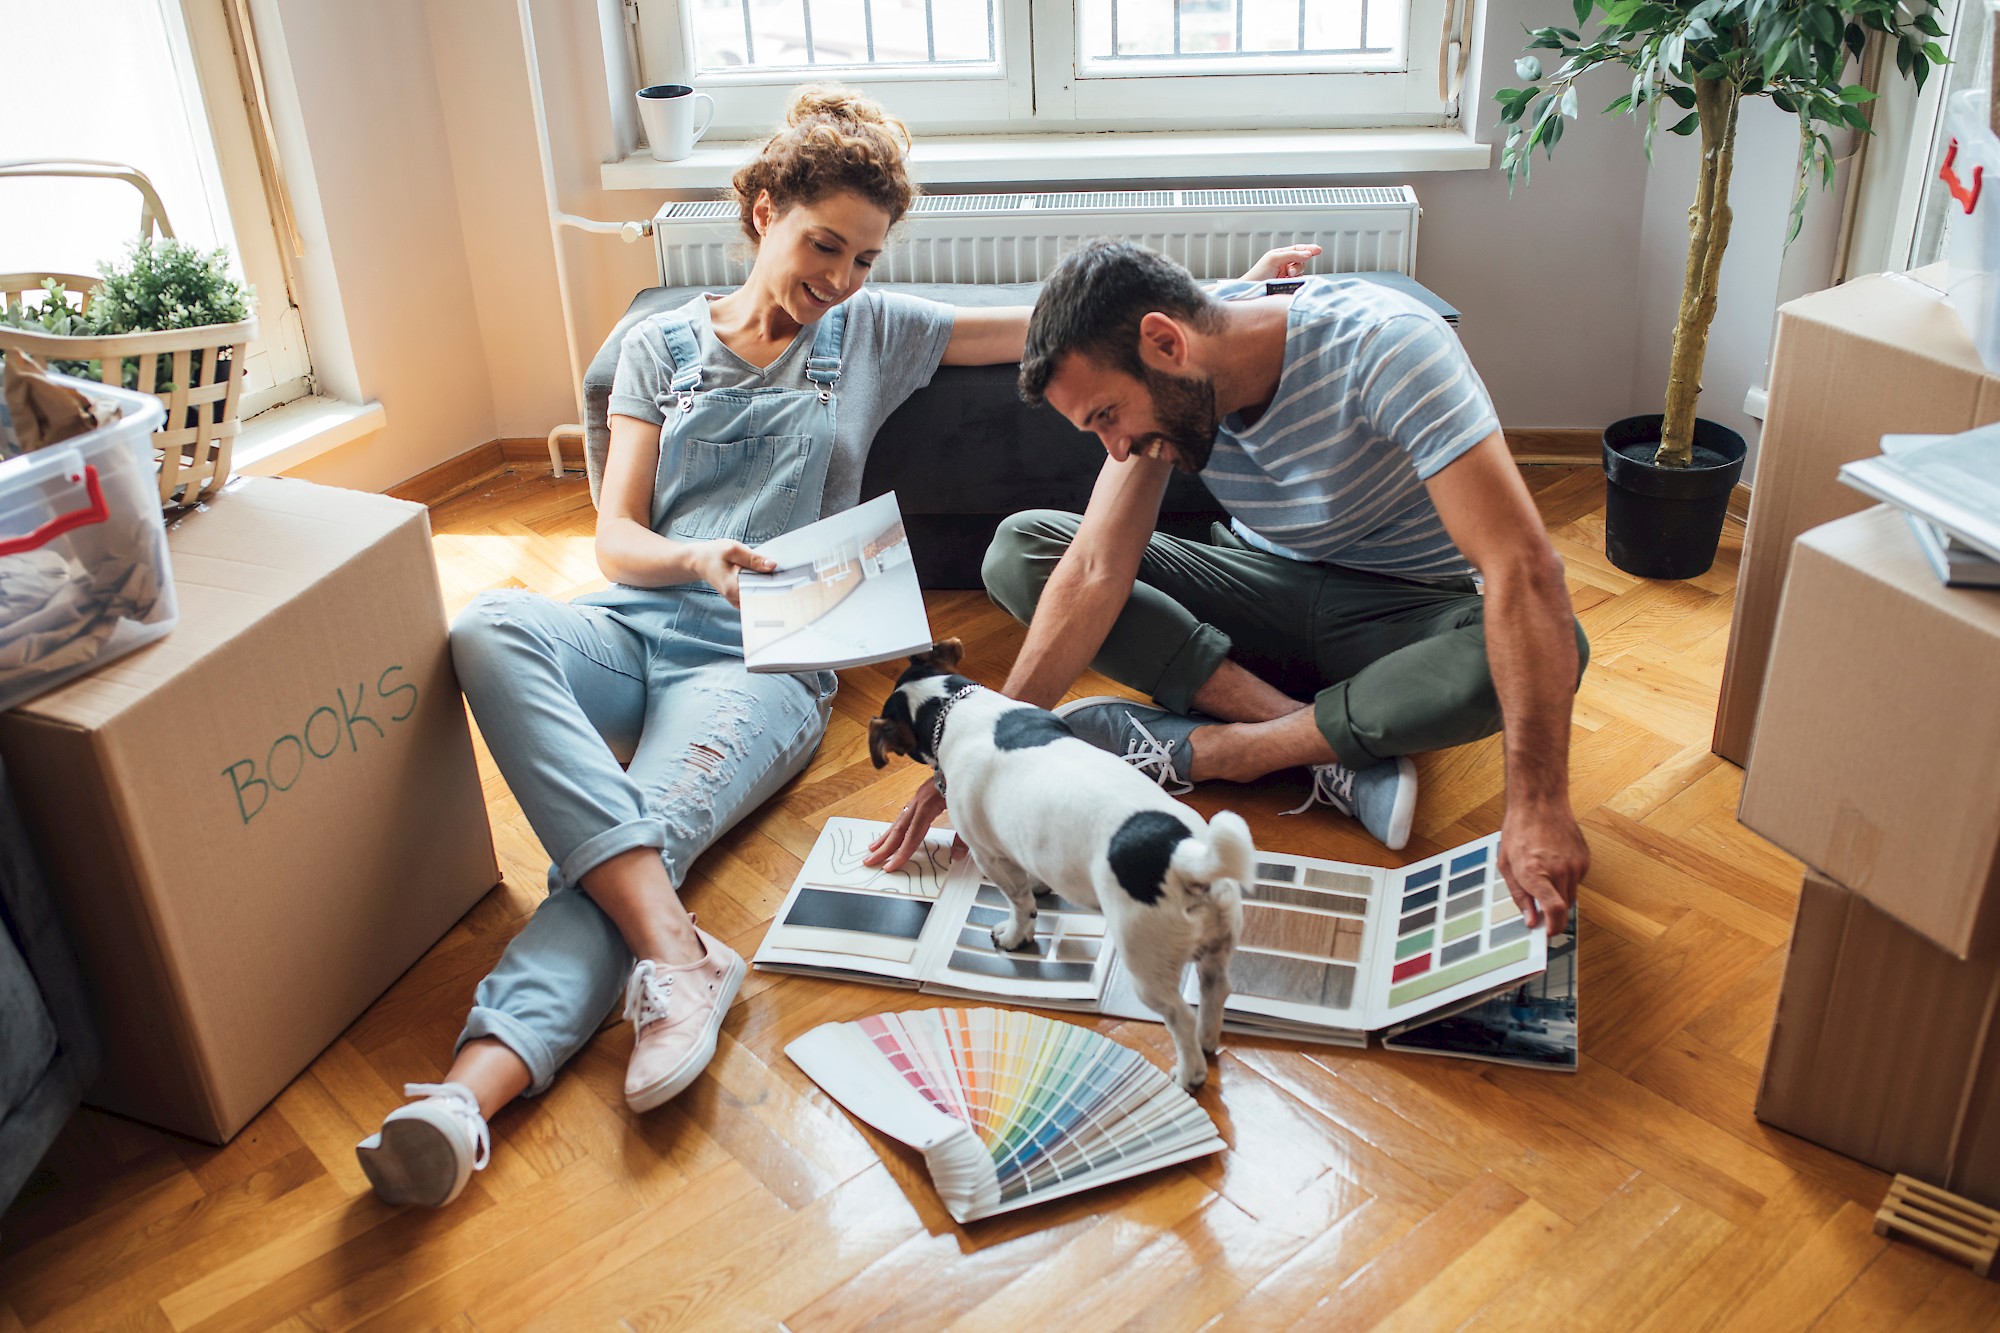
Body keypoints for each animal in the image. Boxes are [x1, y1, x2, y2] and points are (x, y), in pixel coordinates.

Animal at [864, 640, 1240, 1088]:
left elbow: (1020, 904)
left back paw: (1188, 1074)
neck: (952, 707)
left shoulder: (989, 855)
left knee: (1178, 1016)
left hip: (1146, 961)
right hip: (1216, 946)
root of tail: (1183, 855)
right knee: (1214, 991)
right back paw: (1208, 1040)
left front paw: (1014, 936)